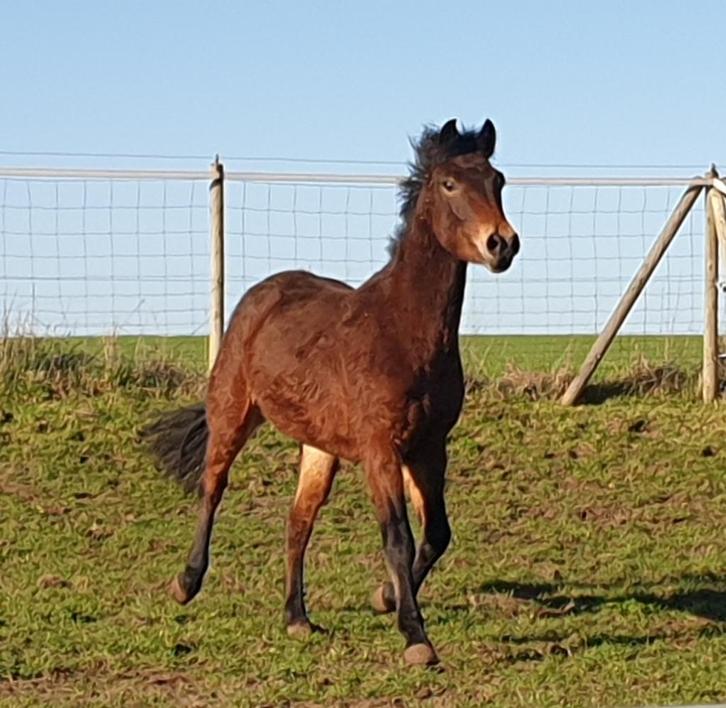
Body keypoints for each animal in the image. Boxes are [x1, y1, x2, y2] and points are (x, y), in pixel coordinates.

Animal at [143, 117, 520, 666]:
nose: (501, 245)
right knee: (213, 486)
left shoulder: (429, 447)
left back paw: (296, 618)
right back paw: (185, 583)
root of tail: (262, 294)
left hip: (319, 446)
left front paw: (385, 597)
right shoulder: (380, 448)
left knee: (298, 520)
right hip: (233, 411)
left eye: (498, 180)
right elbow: (399, 538)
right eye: (450, 184)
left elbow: (437, 534)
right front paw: (415, 636)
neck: (403, 333)